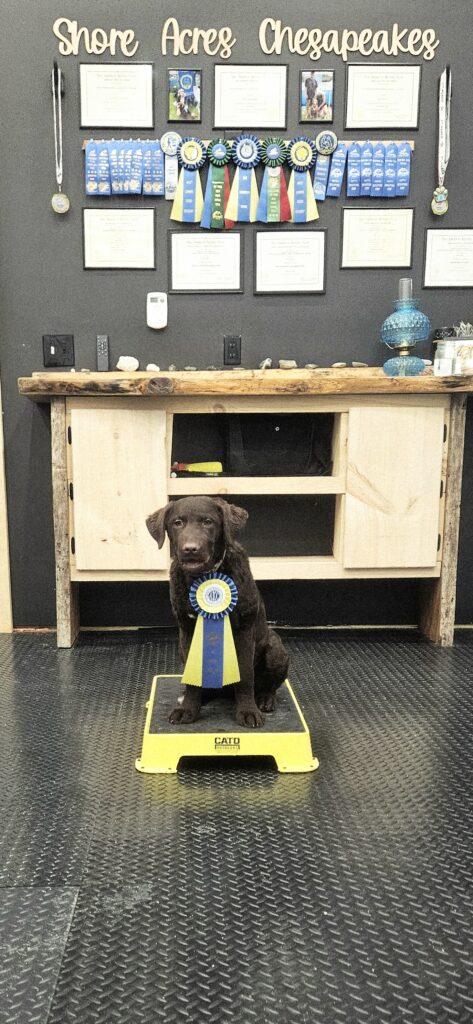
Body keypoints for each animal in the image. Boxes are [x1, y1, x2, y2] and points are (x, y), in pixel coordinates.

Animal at [146, 496, 289, 728]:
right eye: (177, 523)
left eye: (208, 522)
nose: (190, 549)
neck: (205, 576)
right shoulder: (187, 632)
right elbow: (193, 677)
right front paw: (187, 709)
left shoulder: (243, 631)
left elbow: (245, 676)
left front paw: (248, 711)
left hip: (276, 648)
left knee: (268, 685)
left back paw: (264, 699)